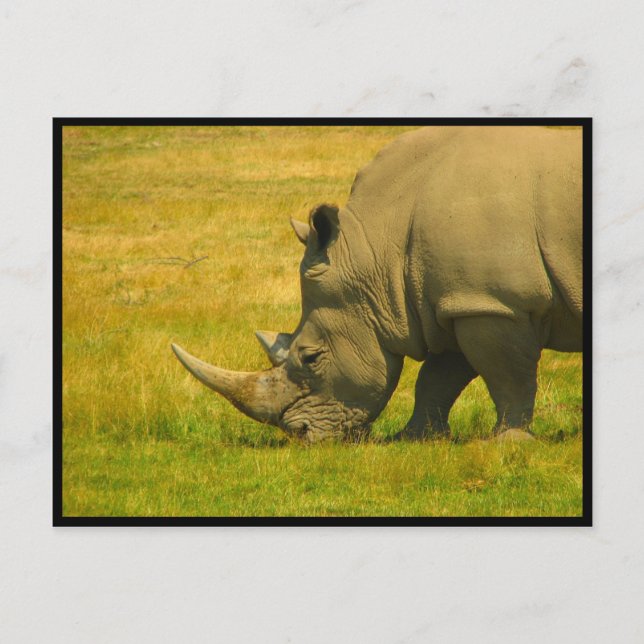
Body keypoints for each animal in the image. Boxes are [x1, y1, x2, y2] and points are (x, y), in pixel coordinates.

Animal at [172, 126, 582, 443]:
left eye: (311, 357)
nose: (300, 435)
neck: (378, 251)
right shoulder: (458, 299)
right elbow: (439, 376)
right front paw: (416, 438)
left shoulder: (494, 303)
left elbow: (506, 374)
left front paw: (509, 442)